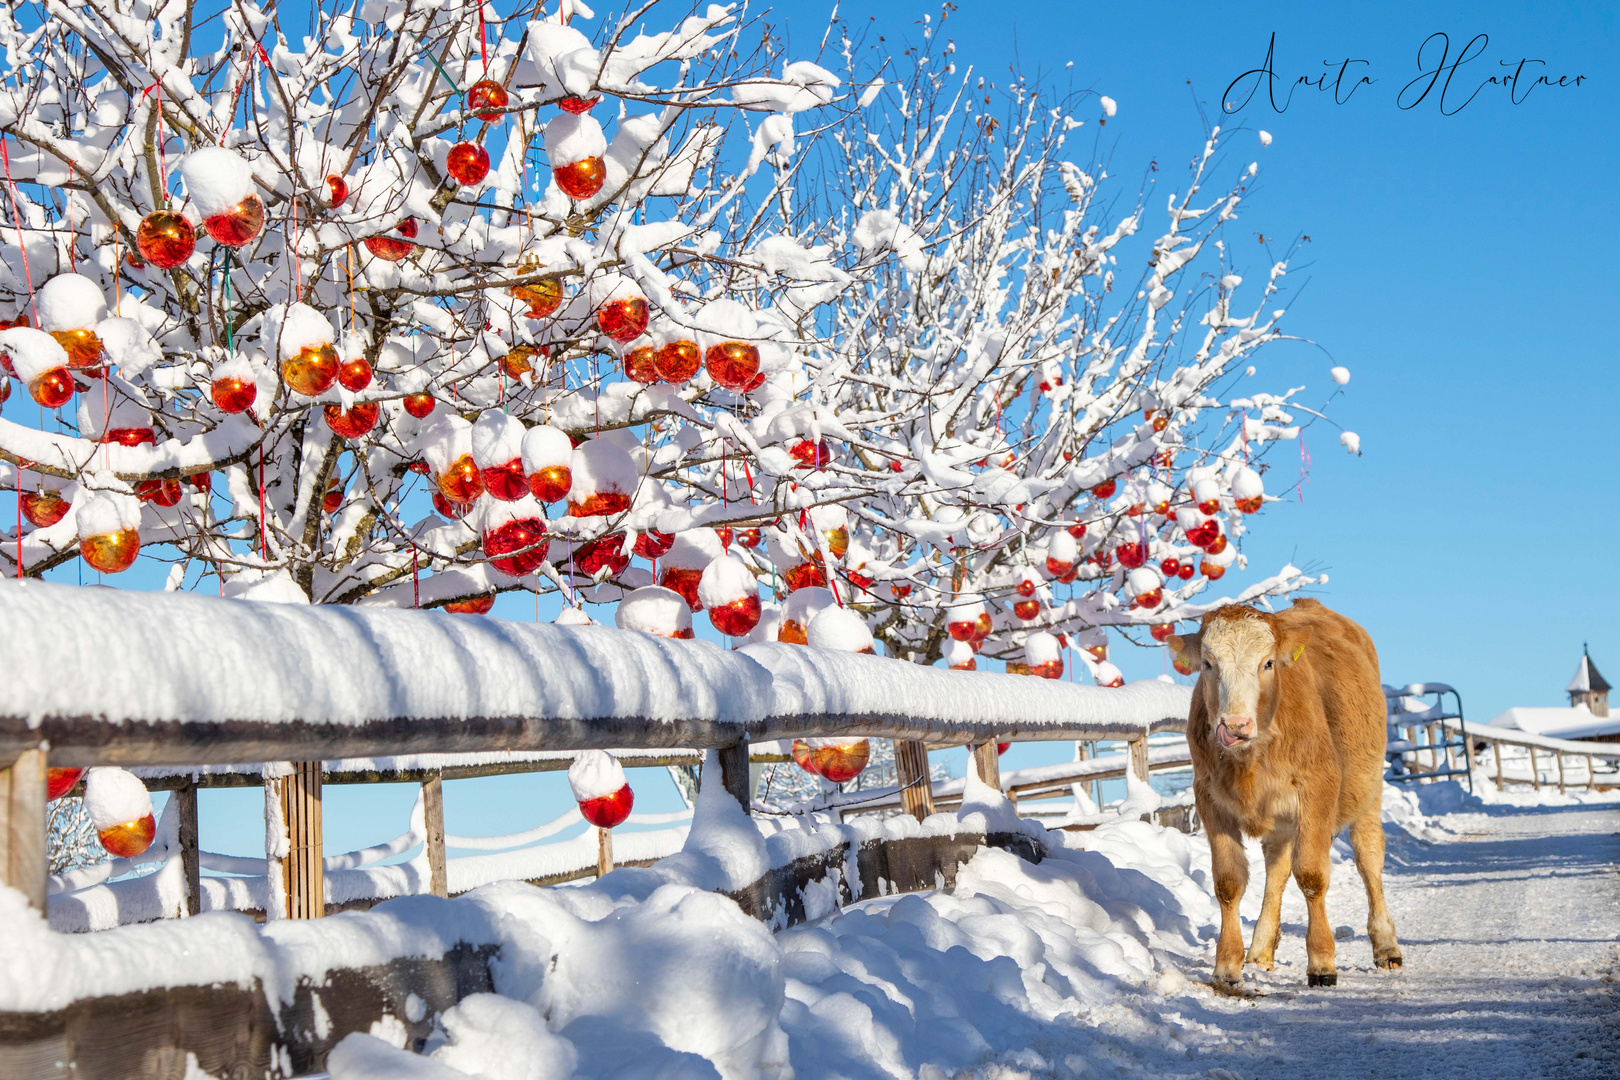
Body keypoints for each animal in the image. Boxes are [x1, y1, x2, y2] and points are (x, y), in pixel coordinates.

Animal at [1172, 599, 1399, 990]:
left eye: (1267, 663)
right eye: (1207, 664)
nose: (1235, 725)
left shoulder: (1318, 789)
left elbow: (1311, 874)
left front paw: (1322, 962)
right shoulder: (1208, 799)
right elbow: (1228, 882)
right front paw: (1227, 965)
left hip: (1367, 792)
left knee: (1369, 857)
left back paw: (1386, 946)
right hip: (1280, 821)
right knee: (1276, 869)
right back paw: (1260, 950)